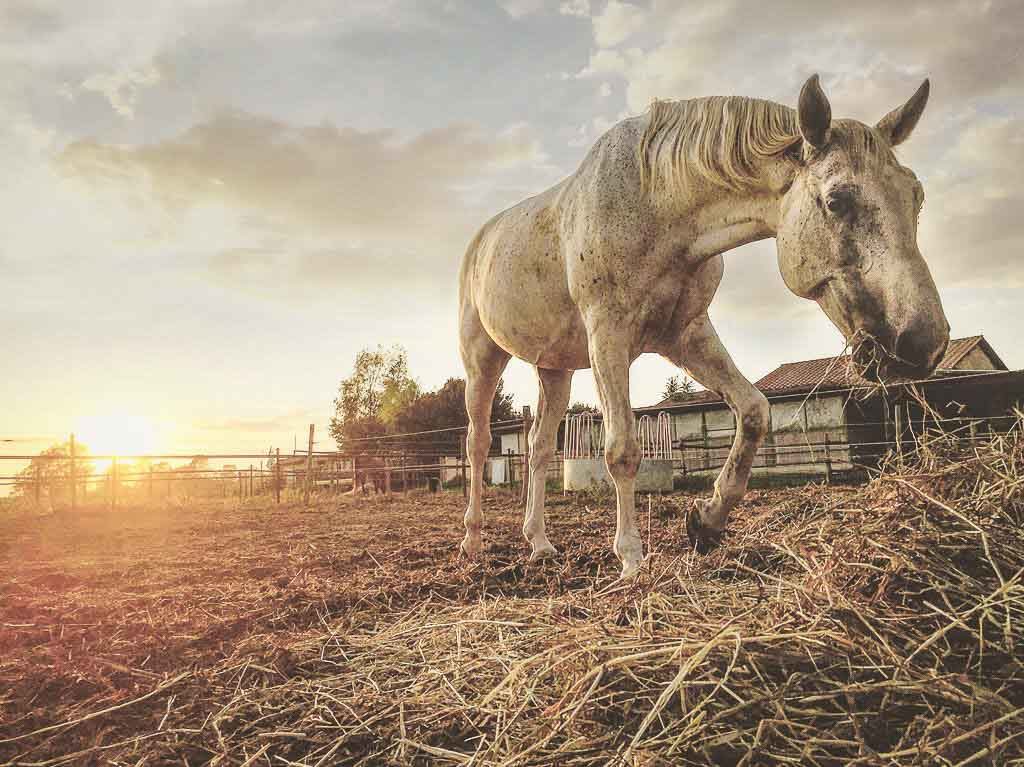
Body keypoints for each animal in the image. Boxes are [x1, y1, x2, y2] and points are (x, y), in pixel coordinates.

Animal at [460, 77, 946, 577]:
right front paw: (631, 560)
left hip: (554, 370)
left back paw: (538, 543)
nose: (922, 344)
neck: (653, 199)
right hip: (483, 360)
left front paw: (707, 522)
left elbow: (753, 411)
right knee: (478, 444)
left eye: (916, 197)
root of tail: (481, 241)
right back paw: (473, 540)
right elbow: (622, 450)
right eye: (836, 201)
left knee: (538, 447)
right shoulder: (608, 336)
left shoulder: (687, 335)